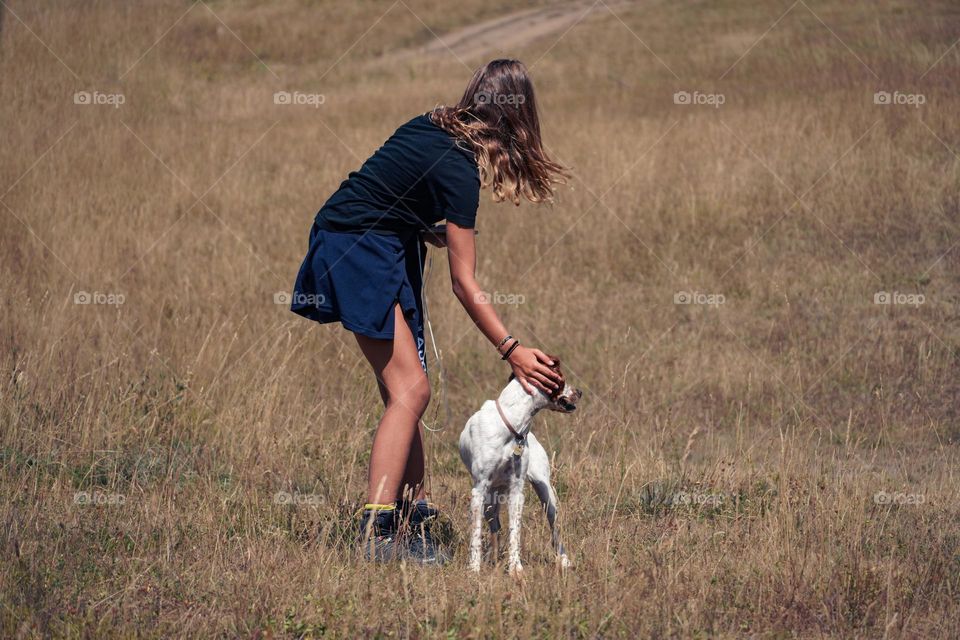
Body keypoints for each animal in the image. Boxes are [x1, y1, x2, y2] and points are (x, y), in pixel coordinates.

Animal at [460, 360, 584, 576]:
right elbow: (476, 533)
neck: (513, 426)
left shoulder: (517, 492)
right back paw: (491, 558)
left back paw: (564, 560)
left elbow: (515, 533)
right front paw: (474, 568)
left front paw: (515, 568)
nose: (580, 391)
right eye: (562, 379)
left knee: (555, 531)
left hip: (547, 495)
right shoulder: (479, 490)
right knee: (495, 527)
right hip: (489, 501)